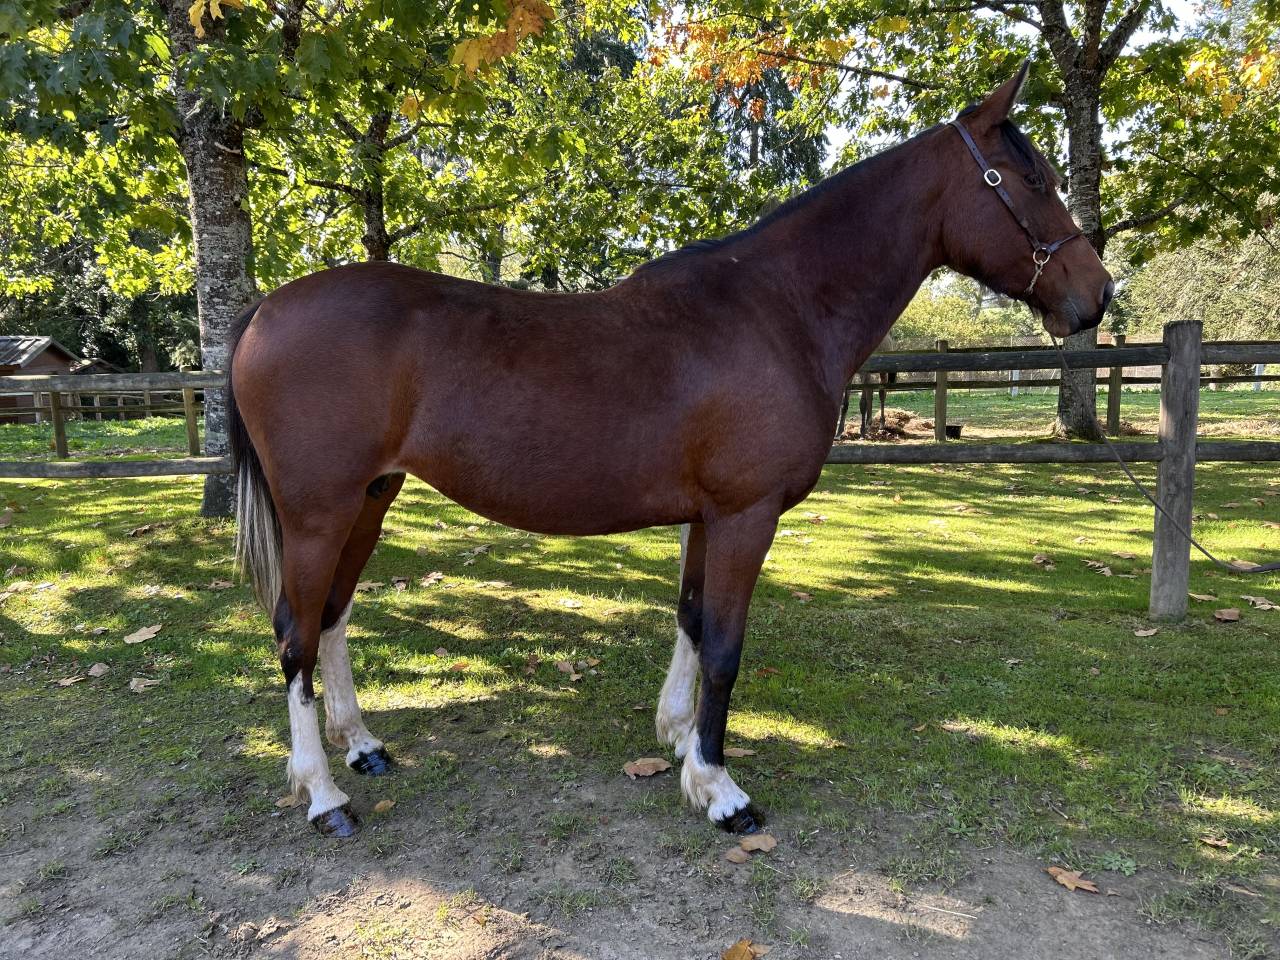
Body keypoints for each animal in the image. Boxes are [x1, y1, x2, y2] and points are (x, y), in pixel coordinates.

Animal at [227, 63, 1113, 838]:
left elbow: (690, 620)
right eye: (1030, 178)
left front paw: (682, 741)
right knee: (293, 635)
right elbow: (723, 646)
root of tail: (266, 311)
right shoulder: (747, 514)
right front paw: (721, 791)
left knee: (331, 618)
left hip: (370, 500)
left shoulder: (707, 516)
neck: (777, 307)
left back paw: (363, 747)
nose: (1098, 294)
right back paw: (324, 796)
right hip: (318, 513)